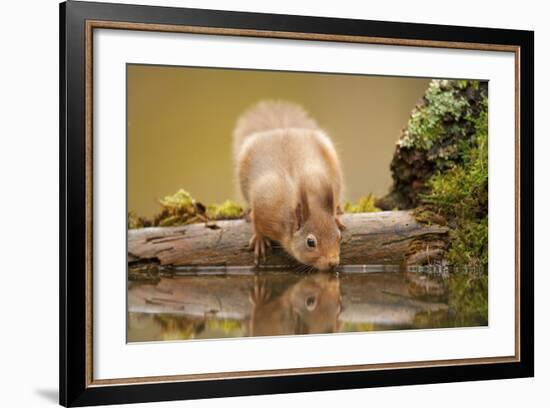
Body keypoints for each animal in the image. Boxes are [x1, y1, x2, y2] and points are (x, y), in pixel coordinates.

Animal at [233, 100, 344, 270]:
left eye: (339, 236)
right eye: (310, 242)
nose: (333, 263)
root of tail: (281, 129)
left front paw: (336, 215)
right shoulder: (265, 203)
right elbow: (257, 221)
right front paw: (259, 239)